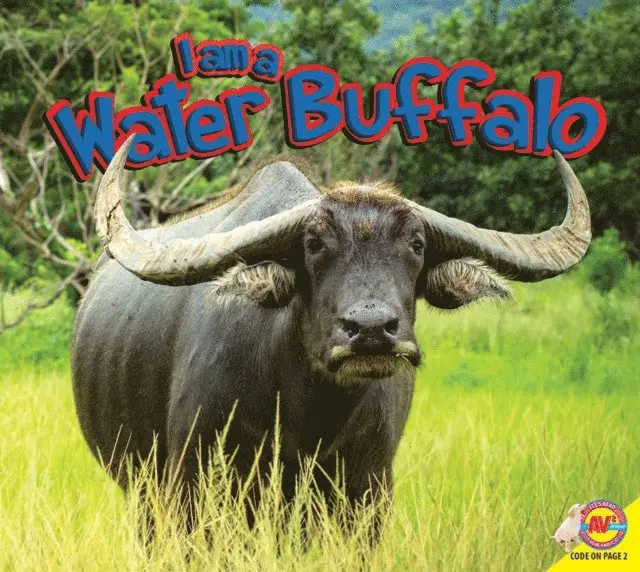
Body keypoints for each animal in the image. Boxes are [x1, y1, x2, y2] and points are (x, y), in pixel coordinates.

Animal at [72, 138, 591, 536]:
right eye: (313, 244)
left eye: (417, 245)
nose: (371, 329)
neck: (308, 418)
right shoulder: (194, 489)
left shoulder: (367, 495)